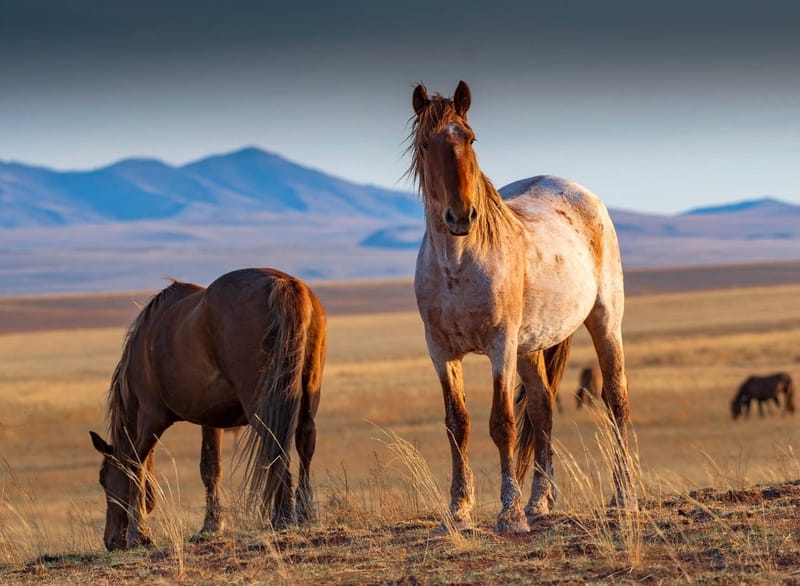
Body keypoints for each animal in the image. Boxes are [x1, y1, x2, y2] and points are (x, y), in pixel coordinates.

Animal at [87, 266, 324, 548]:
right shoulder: (211, 419)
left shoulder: (150, 417)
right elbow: (210, 468)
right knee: (304, 441)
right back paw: (303, 512)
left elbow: (136, 465)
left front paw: (139, 533)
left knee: (276, 444)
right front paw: (211, 524)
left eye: (103, 479)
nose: (110, 540)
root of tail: (284, 284)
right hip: (307, 395)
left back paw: (283, 516)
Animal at [410, 80, 636, 532]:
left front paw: (509, 513)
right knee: (543, 408)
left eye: (471, 138)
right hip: (530, 346)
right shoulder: (440, 350)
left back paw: (621, 498)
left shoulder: (500, 344)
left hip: (604, 321)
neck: (456, 262)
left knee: (616, 399)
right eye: (426, 144)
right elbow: (457, 423)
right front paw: (458, 511)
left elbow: (503, 424)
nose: (461, 216)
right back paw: (540, 501)